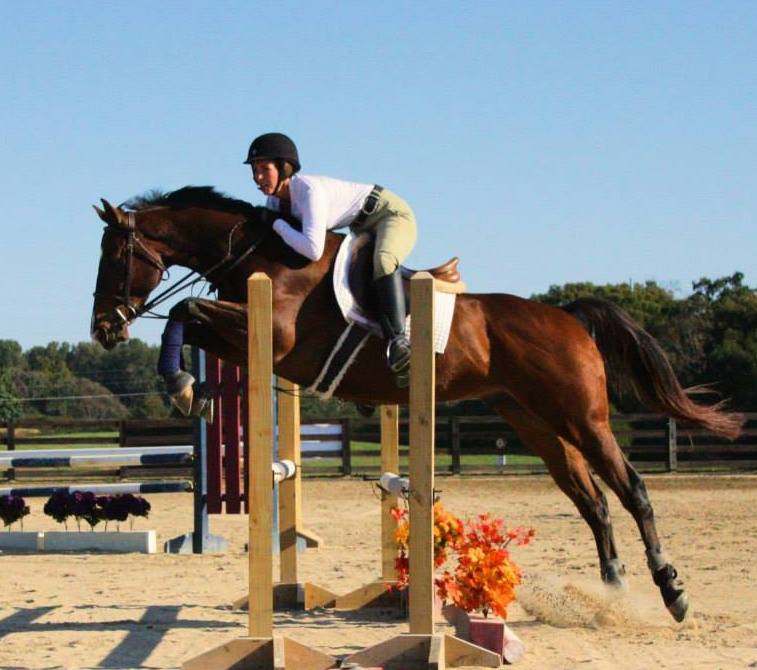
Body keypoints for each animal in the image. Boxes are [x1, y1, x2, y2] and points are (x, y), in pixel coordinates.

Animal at [91, 185, 740, 624]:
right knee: (594, 503)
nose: (103, 328)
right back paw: (612, 596)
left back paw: (671, 593)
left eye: (116, 257)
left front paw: (181, 384)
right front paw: (192, 388)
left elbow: (183, 310)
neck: (258, 254)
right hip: (537, 424)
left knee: (632, 490)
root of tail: (567, 316)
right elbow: (188, 318)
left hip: (582, 417)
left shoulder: (273, 336)